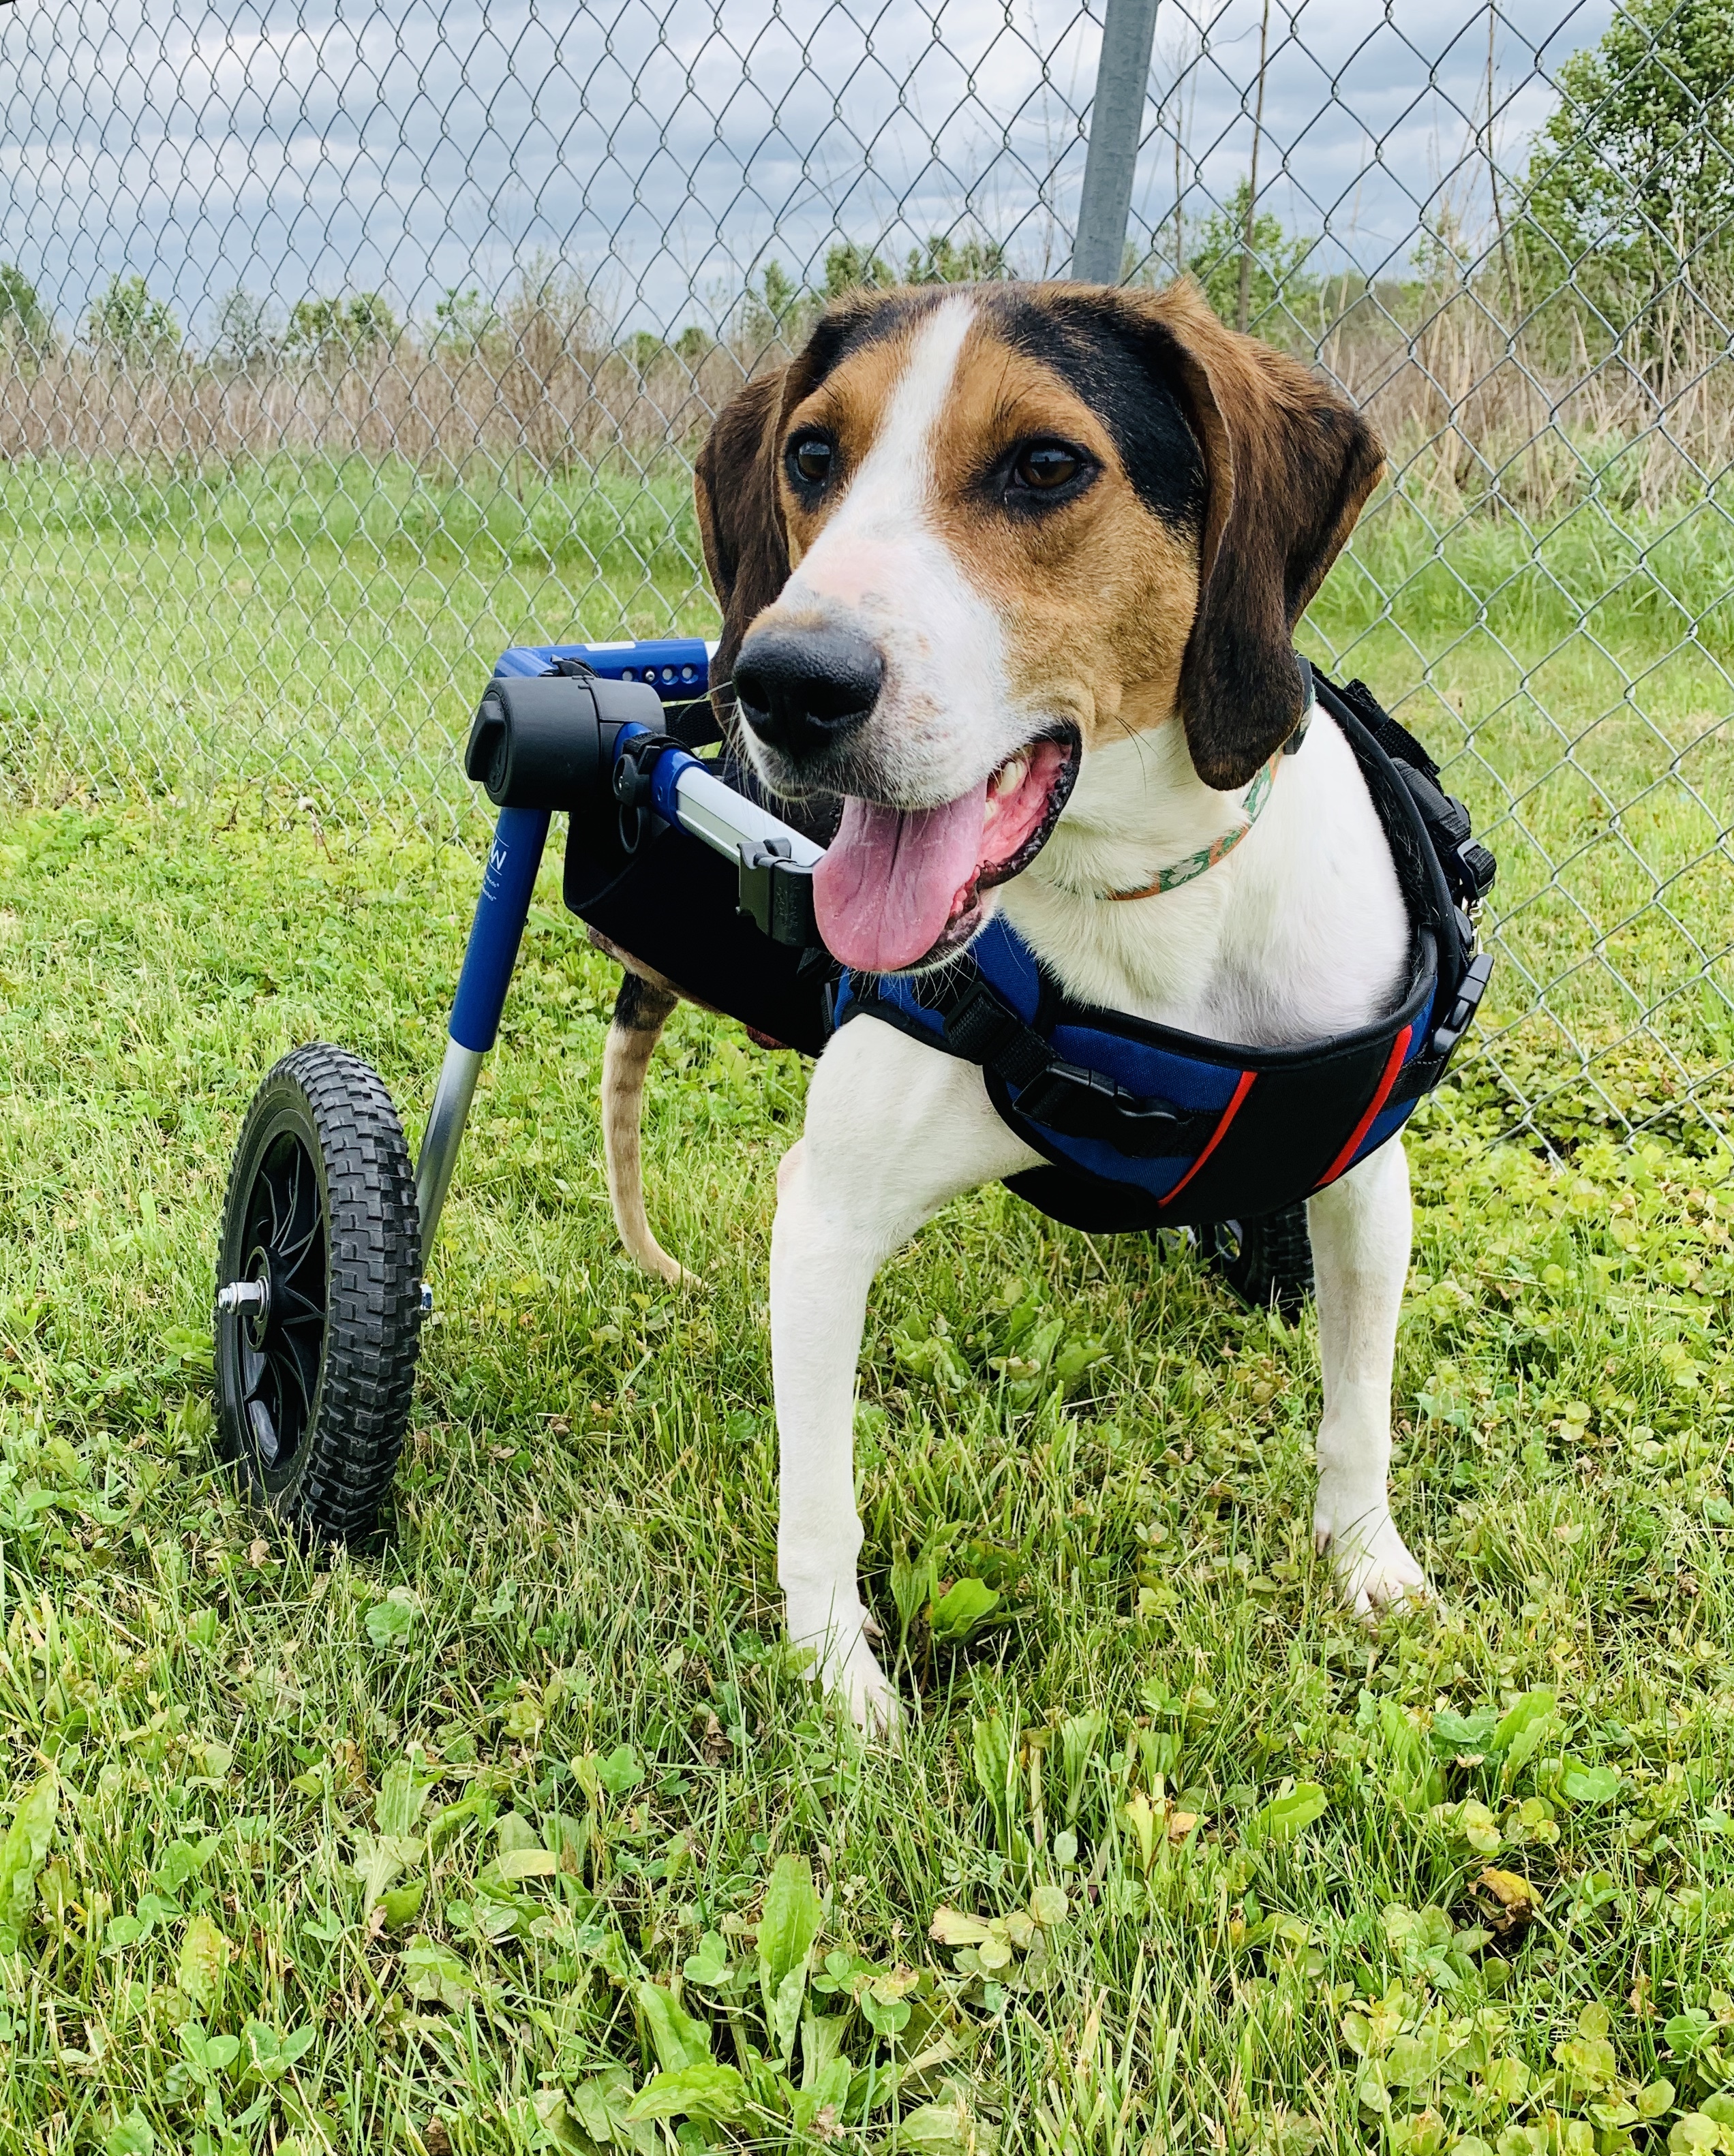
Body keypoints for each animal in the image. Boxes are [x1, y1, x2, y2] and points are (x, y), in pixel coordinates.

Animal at [590, 278, 1423, 1725]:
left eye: (1044, 465)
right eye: (811, 454)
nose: (782, 685)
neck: (1137, 902)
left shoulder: (1364, 1176)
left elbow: (1355, 1406)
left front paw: (1361, 1559)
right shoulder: (823, 1218)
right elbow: (820, 1499)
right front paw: (840, 1684)